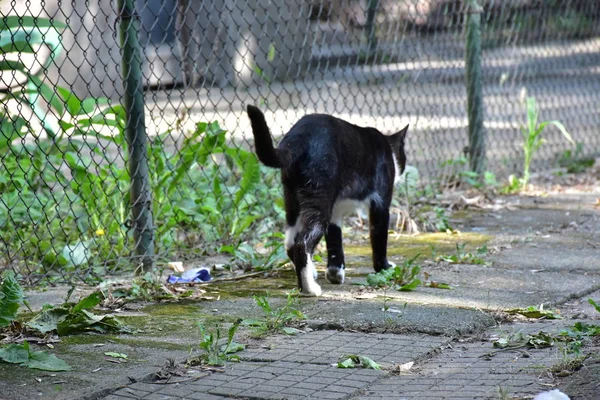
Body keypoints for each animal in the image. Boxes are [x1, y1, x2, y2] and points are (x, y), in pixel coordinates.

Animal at [245, 106, 408, 296]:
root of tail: (297, 138)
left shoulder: (336, 210)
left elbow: (334, 239)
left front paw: (335, 272)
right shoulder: (380, 202)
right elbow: (379, 237)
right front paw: (384, 268)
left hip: (292, 198)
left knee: (290, 240)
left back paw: (310, 272)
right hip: (319, 195)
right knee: (302, 242)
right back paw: (309, 288)